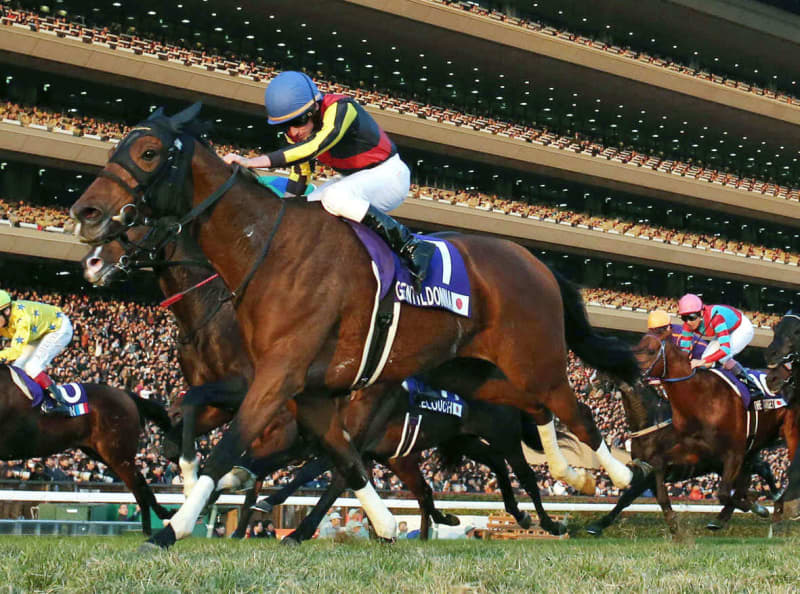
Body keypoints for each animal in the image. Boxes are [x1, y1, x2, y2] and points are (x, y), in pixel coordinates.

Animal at [0, 370, 174, 534]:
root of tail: (126, 394)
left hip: (117, 454)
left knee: (138, 487)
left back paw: (149, 531)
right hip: (102, 453)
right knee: (141, 482)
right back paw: (161, 517)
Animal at [83, 228, 565, 542]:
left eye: (131, 224)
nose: (92, 263)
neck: (213, 314)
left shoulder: (256, 393)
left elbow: (200, 412)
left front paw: (195, 478)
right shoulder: (238, 406)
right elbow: (183, 414)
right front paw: (187, 474)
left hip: (476, 432)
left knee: (519, 469)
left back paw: (542, 520)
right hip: (443, 441)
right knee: (457, 472)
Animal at [584, 373, 779, 535]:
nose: (588, 386)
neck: (652, 424)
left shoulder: (660, 468)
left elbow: (659, 498)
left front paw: (675, 528)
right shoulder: (647, 473)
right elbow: (627, 498)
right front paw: (598, 525)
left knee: (761, 470)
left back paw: (769, 500)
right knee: (747, 482)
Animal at [633, 332, 799, 528]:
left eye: (651, 351)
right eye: (636, 347)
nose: (632, 371)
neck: (701, 399)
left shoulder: (734, 453)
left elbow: (724, 494)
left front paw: (756, 505)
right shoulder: (695, 450)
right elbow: (659, 462)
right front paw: (669, 513)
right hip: (756, 443)